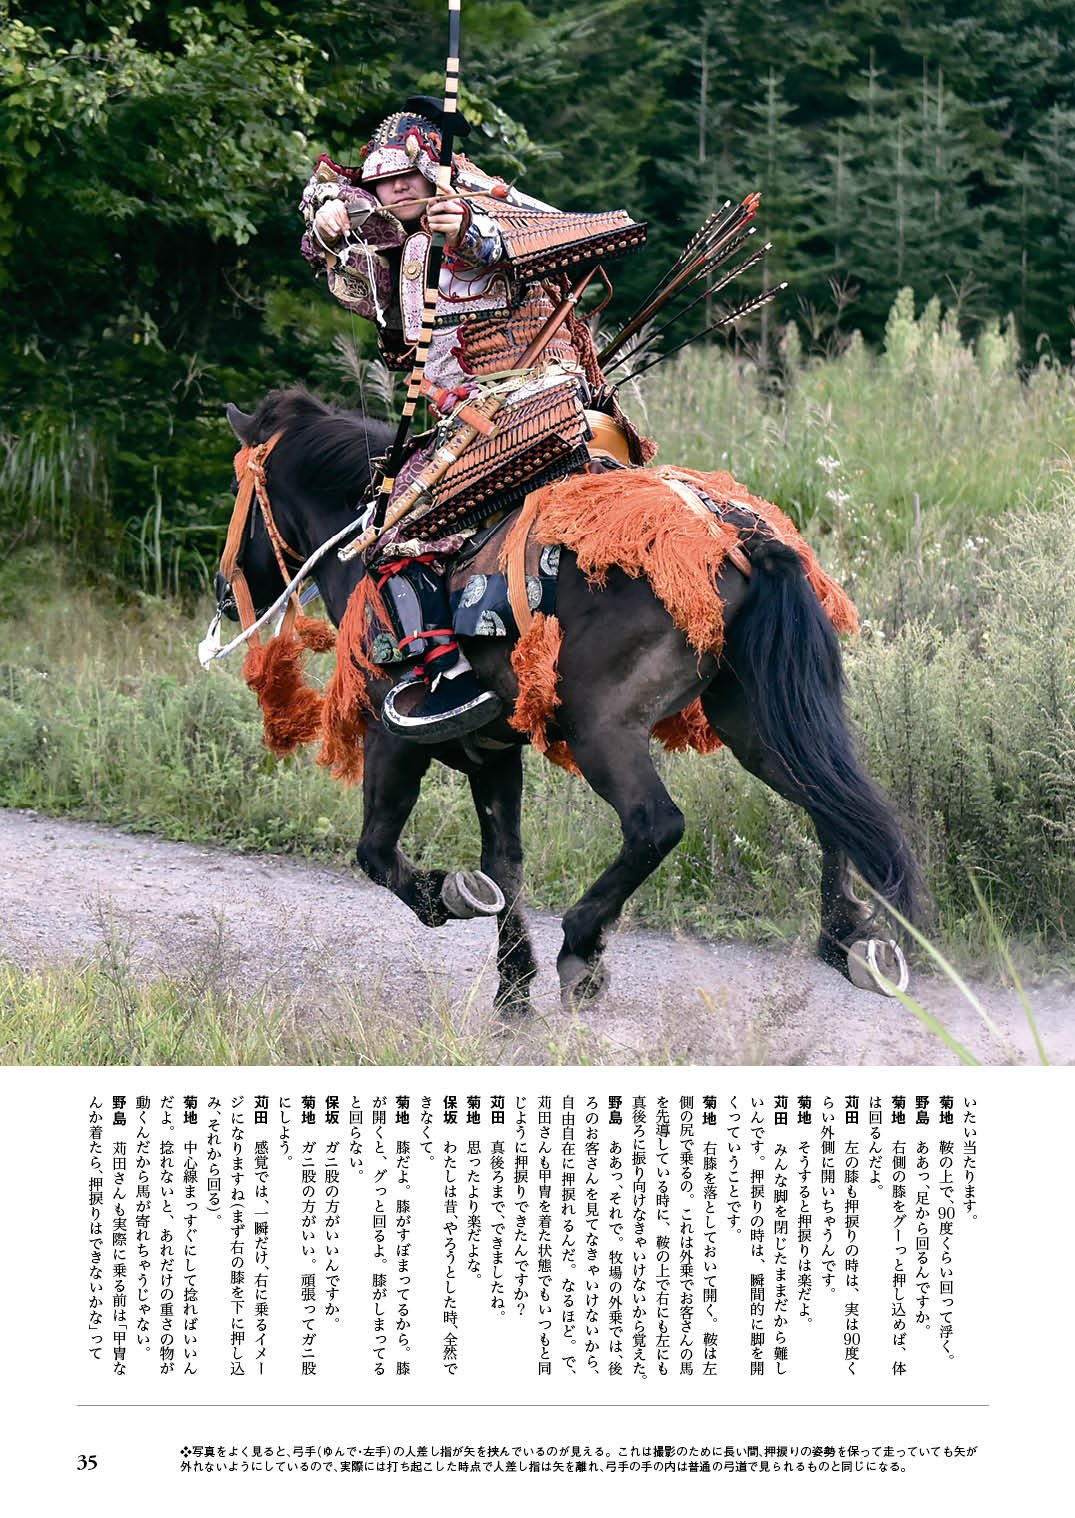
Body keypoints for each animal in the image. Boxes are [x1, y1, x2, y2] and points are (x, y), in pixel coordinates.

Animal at [215, 386, 920, 1016]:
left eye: (238, 491)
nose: (224, 591)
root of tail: (733, 539)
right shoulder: (494, 754)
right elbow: (504, 866)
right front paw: (512, 990)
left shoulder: (393, 742)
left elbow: (378, 854)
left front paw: (450, 897)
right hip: (751, 719)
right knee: (826, 802)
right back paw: (846, 940)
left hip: (601, 729)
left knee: (657, 825)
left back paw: (582, 947)